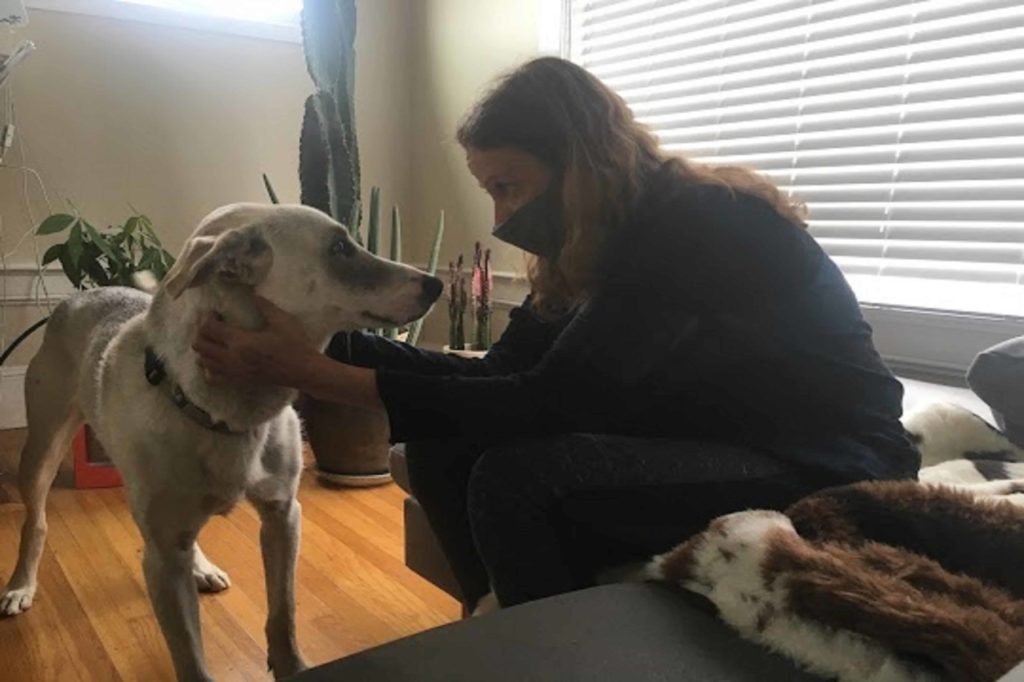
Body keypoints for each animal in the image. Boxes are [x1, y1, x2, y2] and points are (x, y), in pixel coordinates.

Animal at [0, 202, 442, 679]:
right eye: (340, 248)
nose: (436, 284)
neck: (225, 407)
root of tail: (82, 294)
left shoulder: (283, 516)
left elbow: (282, 613)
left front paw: (292, 664)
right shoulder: (164, 559)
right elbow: (190, 656)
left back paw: (202, 567)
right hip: (44, 447)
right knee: (37, 520)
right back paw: (21, 584)